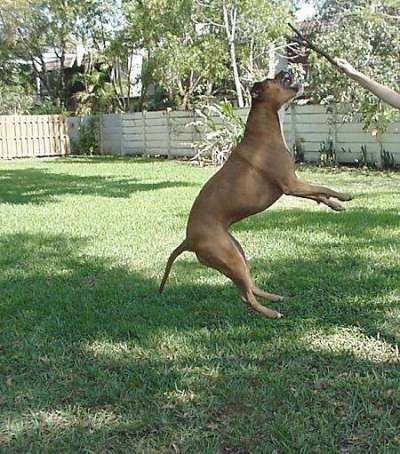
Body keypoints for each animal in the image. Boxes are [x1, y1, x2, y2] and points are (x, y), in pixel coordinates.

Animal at [158, 71, 352, 320]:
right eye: (275, 79)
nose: (285, 71)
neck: (264, 129)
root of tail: (188, 240)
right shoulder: (291, 184)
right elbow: (323, 188)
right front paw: (343, 196)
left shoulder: (294, 186)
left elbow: (318, 194)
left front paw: (334, 205)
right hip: (231, 258)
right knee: (246, 297)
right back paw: (270, 312)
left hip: (237, 252)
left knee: (248, 287)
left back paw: (273, 297)